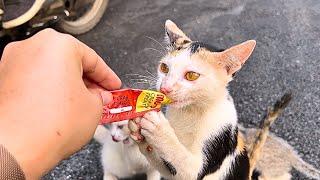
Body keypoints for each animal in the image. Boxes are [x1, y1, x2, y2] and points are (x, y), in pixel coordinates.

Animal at [129, 19, 256, 179]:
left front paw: (158, 128)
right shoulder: (172, 174)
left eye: (191, 75)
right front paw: (138, 132)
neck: (190, 112)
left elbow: (183, 161)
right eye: (164, 68)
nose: (164, 88)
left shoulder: (218, 141)